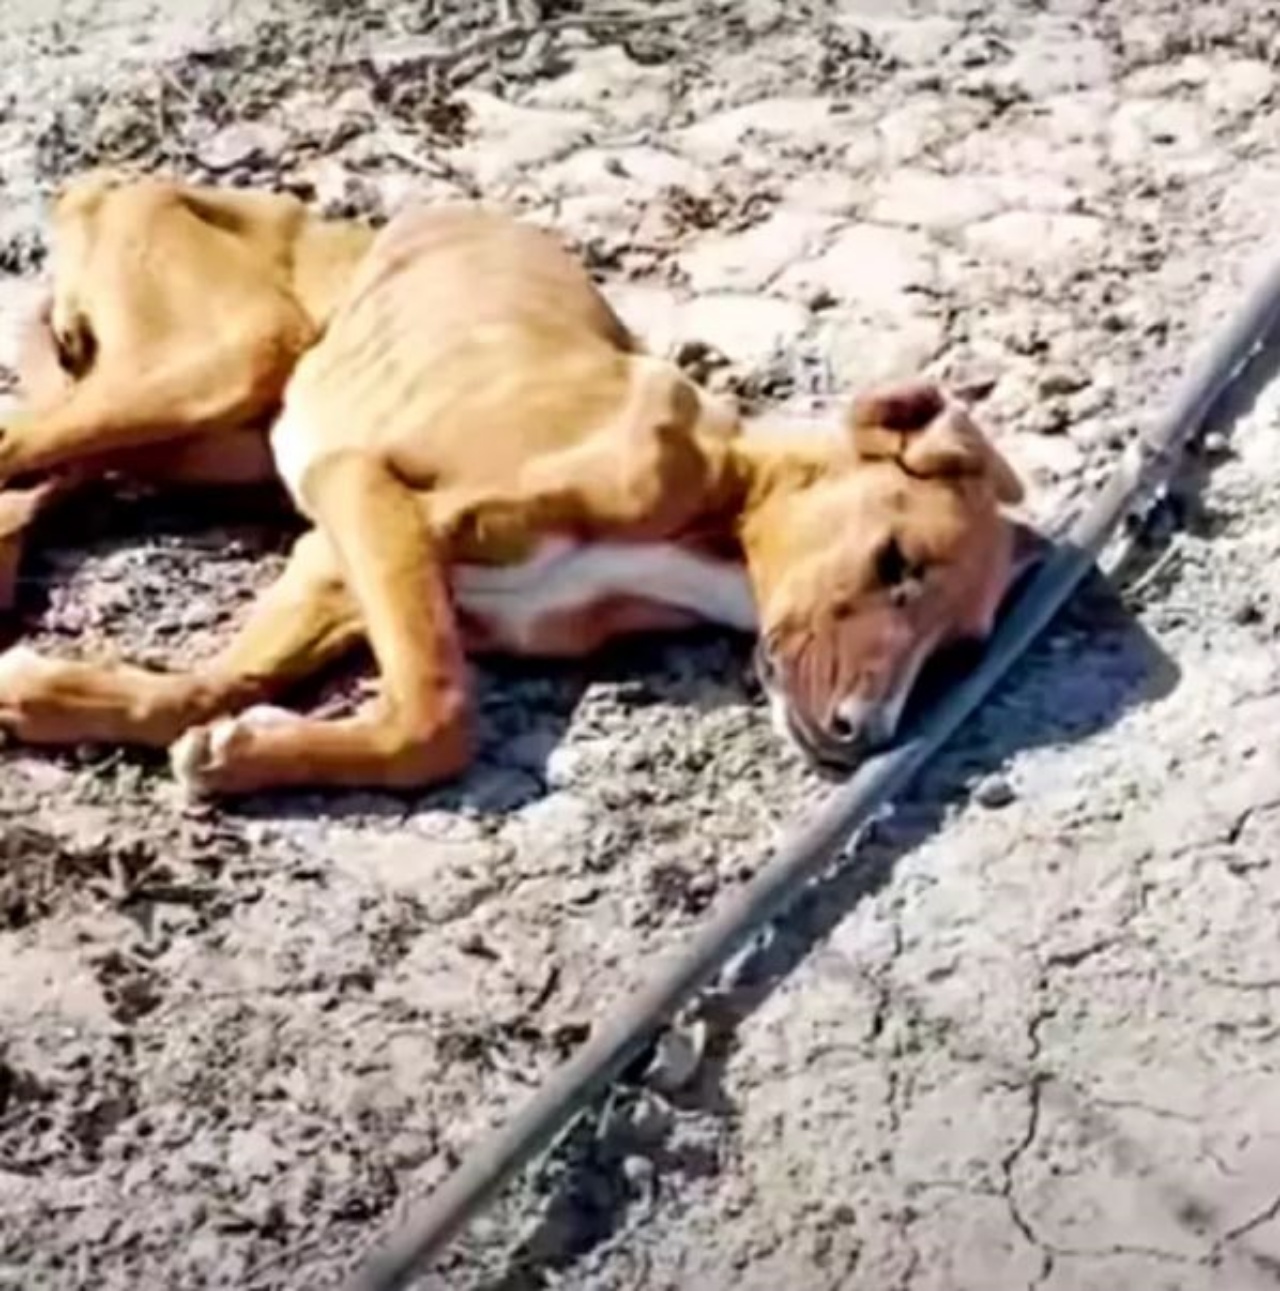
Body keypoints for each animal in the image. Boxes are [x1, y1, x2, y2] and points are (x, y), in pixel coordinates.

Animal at [0, 171, 1033, 795]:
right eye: (895, 561)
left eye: (959, 649)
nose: (868, 735)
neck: (717, 504)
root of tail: (114, 182)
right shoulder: (361, 485)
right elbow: (437, 715)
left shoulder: (332, 560)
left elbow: (212, 683)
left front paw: (78, 701)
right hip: (228, 359)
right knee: (22, 446)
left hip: (201, 430)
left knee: (34, 477)